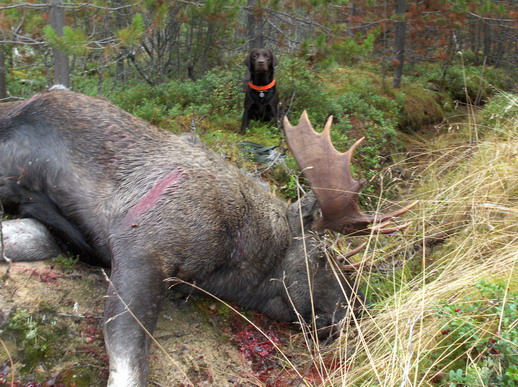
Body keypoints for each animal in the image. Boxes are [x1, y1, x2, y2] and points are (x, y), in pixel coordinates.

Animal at [0, 90, 414, 384]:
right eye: (323, 257)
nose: (359, 309)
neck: (229, 265)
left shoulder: (81, 238)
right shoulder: (142, 247)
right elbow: (128, 361)